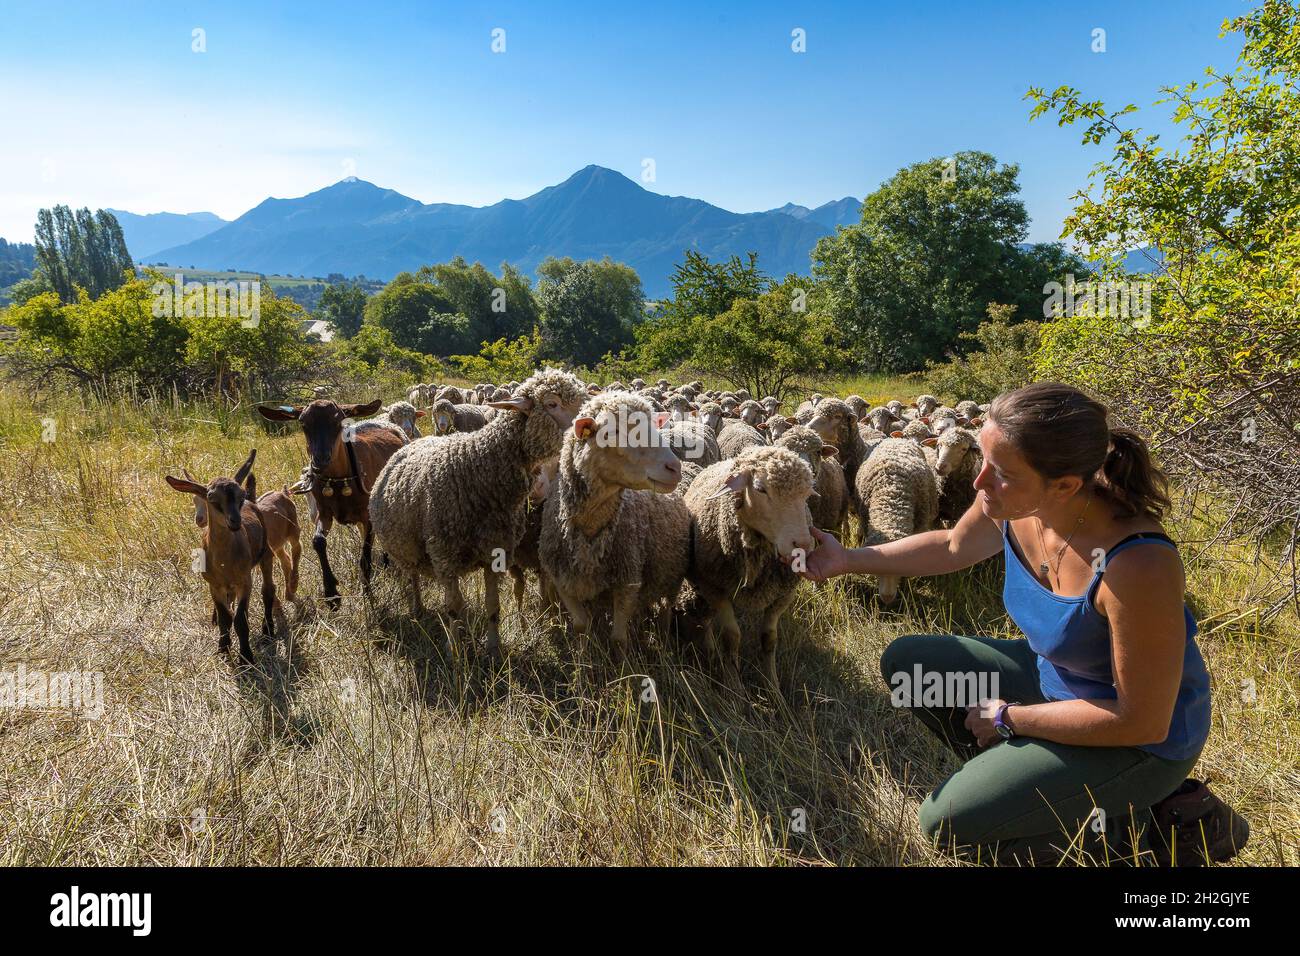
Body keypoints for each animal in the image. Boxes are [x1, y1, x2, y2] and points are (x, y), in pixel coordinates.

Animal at [254, 400, 405, 608]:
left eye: (339, 421)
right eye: (303, 423)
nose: (320, 460)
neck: (339, 481)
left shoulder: (368, 517)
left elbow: (365, 557)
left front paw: (368, 594)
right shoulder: (324, 513)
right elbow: (318, 541)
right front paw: (331, 593)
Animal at [369, 369, 587, 658]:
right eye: (552, 404)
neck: (478, 469)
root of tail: (411, 441)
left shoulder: (496, 552)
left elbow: (492, 605)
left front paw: (493, 648)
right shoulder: (444, 556)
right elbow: (453, 607)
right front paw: (455, 651)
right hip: (406, 548)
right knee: (413, 578)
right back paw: (417, 608)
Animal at [540, 392, 696, 660]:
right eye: (612, 431)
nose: (674, 468)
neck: (590, 532)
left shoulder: (627, 581)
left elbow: (619, 638)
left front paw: (623, 665)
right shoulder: (563, 581)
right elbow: (580, 626)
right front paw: (583, 660)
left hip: (673, 577)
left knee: (666, 609)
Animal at [681, 444, 811, 691]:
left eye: (807, 495)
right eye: (760, 489)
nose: (802, 544)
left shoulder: (783, 595)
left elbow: (769, 639)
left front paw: (773, 688)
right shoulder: (716, 589)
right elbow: (732, 638)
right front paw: (735, 687)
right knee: (706, 620)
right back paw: (711, 655)